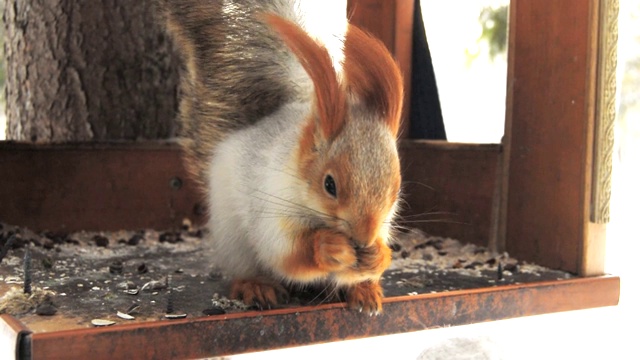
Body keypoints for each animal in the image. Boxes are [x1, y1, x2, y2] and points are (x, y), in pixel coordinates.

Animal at [156, 0, 402, 316]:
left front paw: (377, 256)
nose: (363, 238)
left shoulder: (384, 223)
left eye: (395, 189)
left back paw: (365, 290)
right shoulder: (271, 203)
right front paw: (329, 247)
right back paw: (255, 285)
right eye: (329, 185)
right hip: (234, 243)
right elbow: (285, 254)